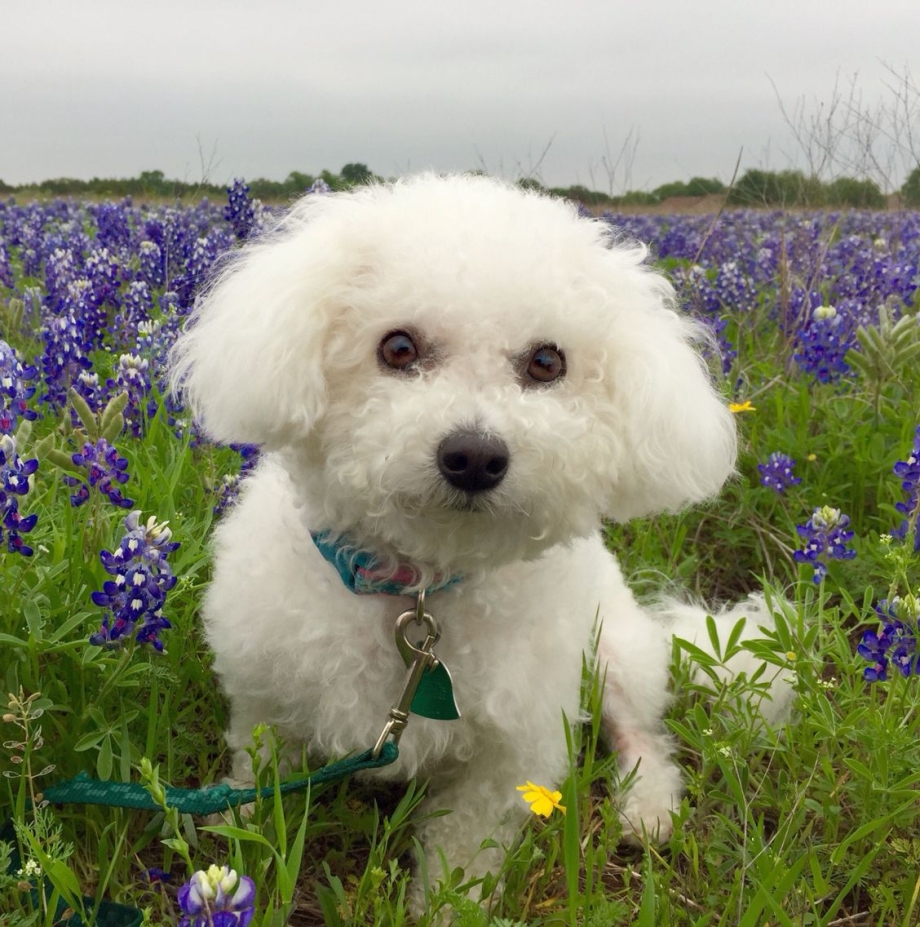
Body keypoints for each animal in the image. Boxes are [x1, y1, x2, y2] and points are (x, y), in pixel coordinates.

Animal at [170, 174, 788, 903]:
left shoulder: (509, 754)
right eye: (398, 348)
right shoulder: (266, 701)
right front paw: (239, 850)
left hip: (615, 652)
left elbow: (462, 855)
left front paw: (441, 906)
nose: (473, 456)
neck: (419, 587)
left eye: (547, 361)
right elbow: (259, 787)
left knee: (641, 732)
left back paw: (648, 808)